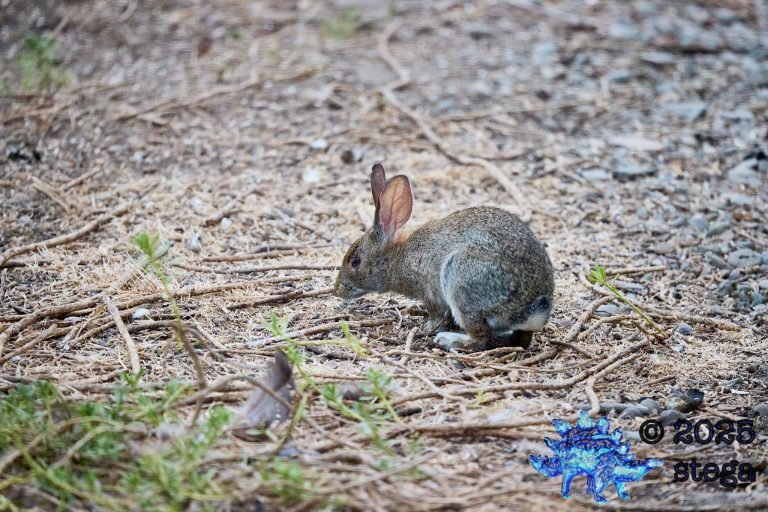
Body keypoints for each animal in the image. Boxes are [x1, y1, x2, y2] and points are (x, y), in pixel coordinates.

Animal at [334, 163, 555, 352]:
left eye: (355, 262)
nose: (337, 290)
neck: (398, 257)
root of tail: (531, 309)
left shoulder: (429, 292)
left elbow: (435, 313)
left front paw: (426, 328)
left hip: (460, 280)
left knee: (481, 338)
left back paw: (449, 340)